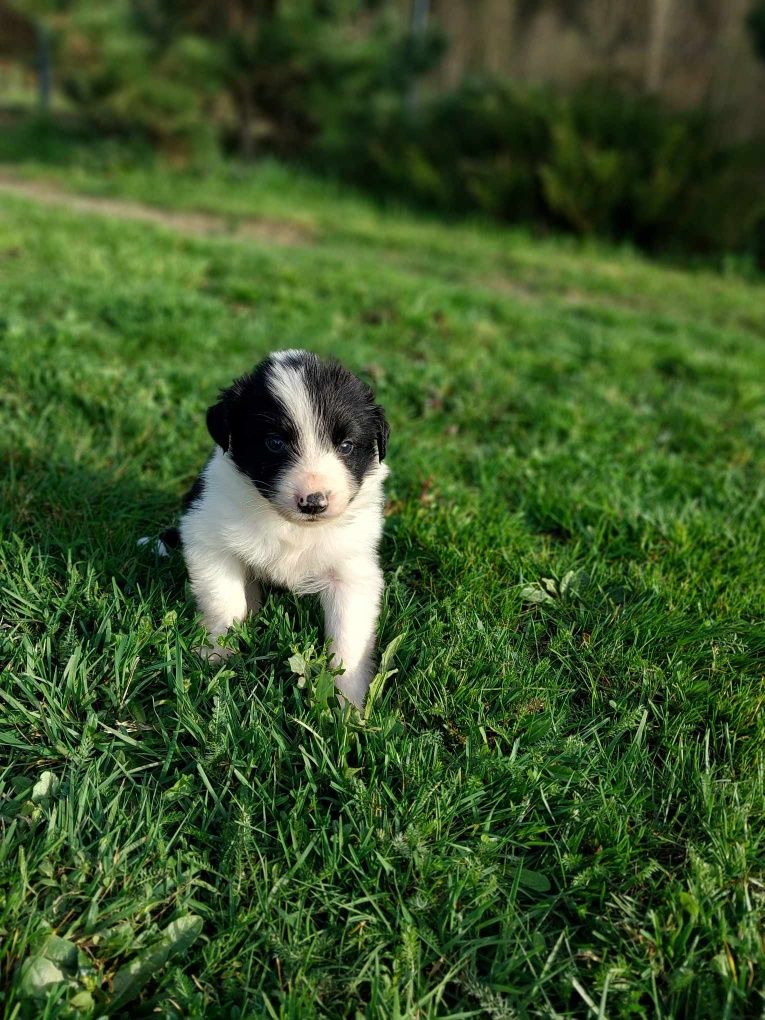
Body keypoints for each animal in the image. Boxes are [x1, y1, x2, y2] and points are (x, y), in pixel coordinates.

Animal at [166, 350, 389, 709]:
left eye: (346, 446)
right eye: (274, 443)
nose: (313, 502)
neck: (291, 526)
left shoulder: (352, 571)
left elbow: (348, 638)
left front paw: (350, 703)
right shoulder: (208, 537)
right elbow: (224, 602)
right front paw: (215, 655)